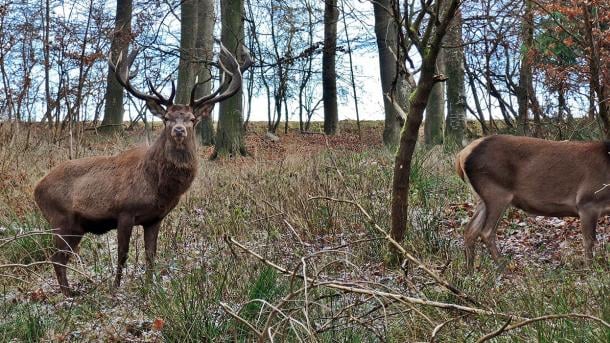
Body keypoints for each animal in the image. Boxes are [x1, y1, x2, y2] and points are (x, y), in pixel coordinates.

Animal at [34, 44, 249, 296]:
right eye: (166, 117)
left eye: (192, 118)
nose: (178, 130)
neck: (157, 186)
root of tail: (36, 188)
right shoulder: (124, 212)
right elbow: (122, 255)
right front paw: (115, 290)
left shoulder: (154, 218)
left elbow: (151, 255)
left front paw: (149, 288)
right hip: (61, 219)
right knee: (57, 258)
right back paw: (69, 295)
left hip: (75, 226)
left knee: (61, 258)